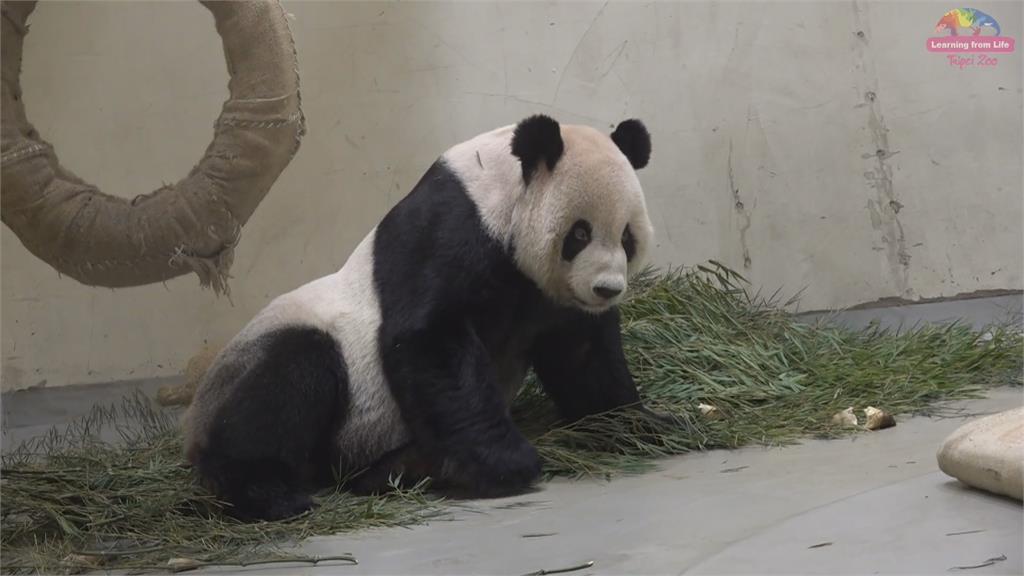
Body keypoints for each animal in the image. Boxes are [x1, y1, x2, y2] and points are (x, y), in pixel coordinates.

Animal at [186, 114, 655, 518]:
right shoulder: (450, 230)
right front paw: (506, 462)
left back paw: (405, 469)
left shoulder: (550, 297)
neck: (501, 189)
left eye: (626, 237)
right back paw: (267, 492)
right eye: (579, 233)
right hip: (311, 371)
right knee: (284, 385)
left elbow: (583, 355)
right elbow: (429, 337)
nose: (607, 289)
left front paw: (642, 424)